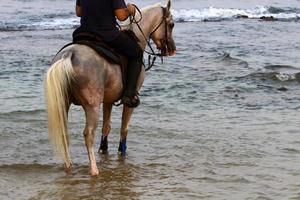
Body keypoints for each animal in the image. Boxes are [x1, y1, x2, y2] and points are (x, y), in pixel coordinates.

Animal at [44, 0, 176, 176]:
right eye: (171, 24)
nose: (172, 49)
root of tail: (68, 56)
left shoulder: (108, 100)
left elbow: (106, 128)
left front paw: (104, 151)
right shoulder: (129, 102)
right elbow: (124, 129)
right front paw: (122, 153)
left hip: (63, 103)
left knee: (64, 132)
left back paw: (69, 165)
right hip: (92, 106)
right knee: (88, 134)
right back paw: (94, 169)